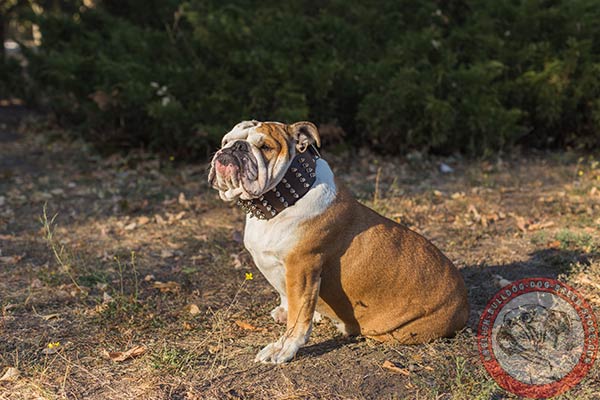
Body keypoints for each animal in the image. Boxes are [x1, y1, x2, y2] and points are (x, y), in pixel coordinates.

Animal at [207, 120, 468, 364]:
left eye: (266, 147)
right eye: (226, 141)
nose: (235, 147)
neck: (286, 200)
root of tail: (463, 302)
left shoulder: (302, 270)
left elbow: (299, 317)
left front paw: (283, 348)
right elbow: (289, 299)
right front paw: (287, 311)